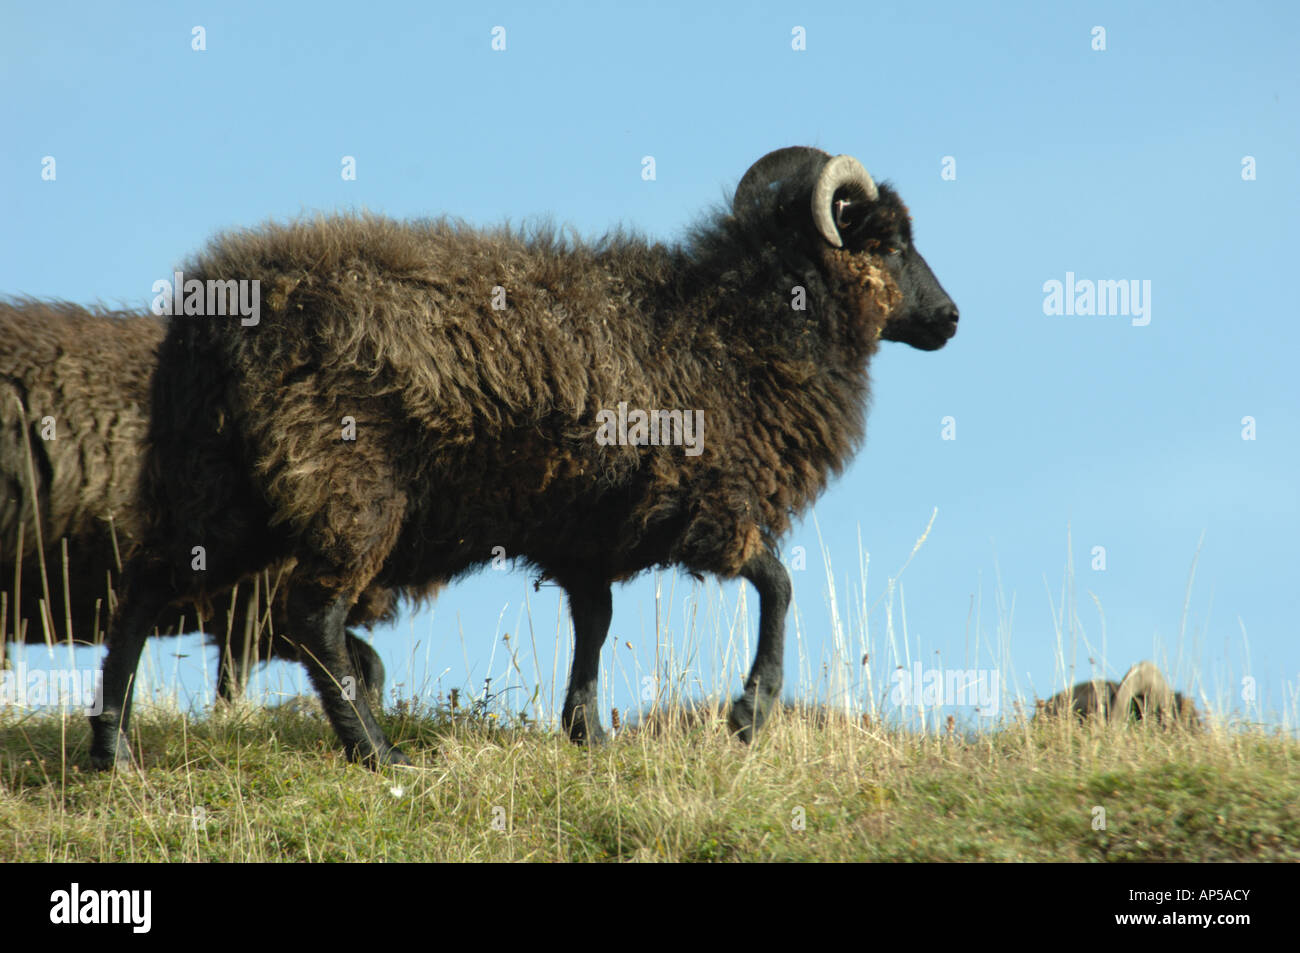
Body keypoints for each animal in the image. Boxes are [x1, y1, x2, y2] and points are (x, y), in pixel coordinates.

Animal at [89, 145, 959, 768]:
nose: (950, 317)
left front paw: (586, 732)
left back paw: (114, 750)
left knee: (146, 583)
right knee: (314, 615)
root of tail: (211, 313)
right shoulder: (710, 502)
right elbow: (777, 584)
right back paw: (377, 753)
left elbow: (595, 623)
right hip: (343, 484)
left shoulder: (588, 536)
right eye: (889, 241)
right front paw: (750, 713)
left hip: (220, 488)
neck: (741, 330)